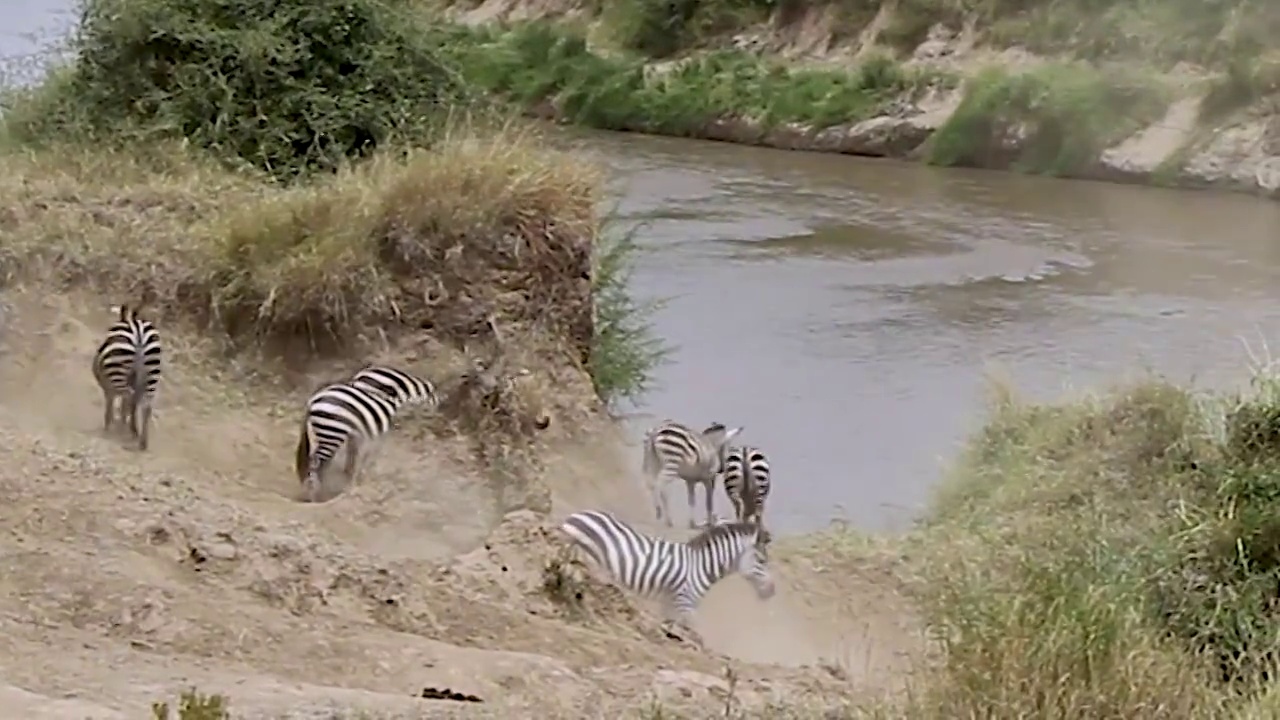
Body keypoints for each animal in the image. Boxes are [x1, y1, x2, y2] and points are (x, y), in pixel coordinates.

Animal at [92, 302, 162, 448]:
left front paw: (109, 426)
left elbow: (111, 404)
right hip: (151, 374)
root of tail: (139, 332)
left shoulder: (108, 387)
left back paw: (125, 429)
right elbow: (131, 404)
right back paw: (142, 441)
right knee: (145, 405)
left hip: (118, 373)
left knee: (129, 397)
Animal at [296, 361, 437, 502]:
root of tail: (312, 401)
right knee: (317, 461)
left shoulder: (357, 434)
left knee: (319, 461)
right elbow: (368, 455)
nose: (437, 411)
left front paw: (350, 477)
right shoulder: (375, 434)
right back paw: (318, 493)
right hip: (332, 433)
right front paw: (361, 478)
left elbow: (354, 456)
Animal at [558, 507, 768, 648]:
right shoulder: (685, 603)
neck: (701, 566)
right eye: (762, 561)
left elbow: (670, 627)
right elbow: (696, 630)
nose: (771, 591)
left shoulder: (670, 603)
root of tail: (579, 515)